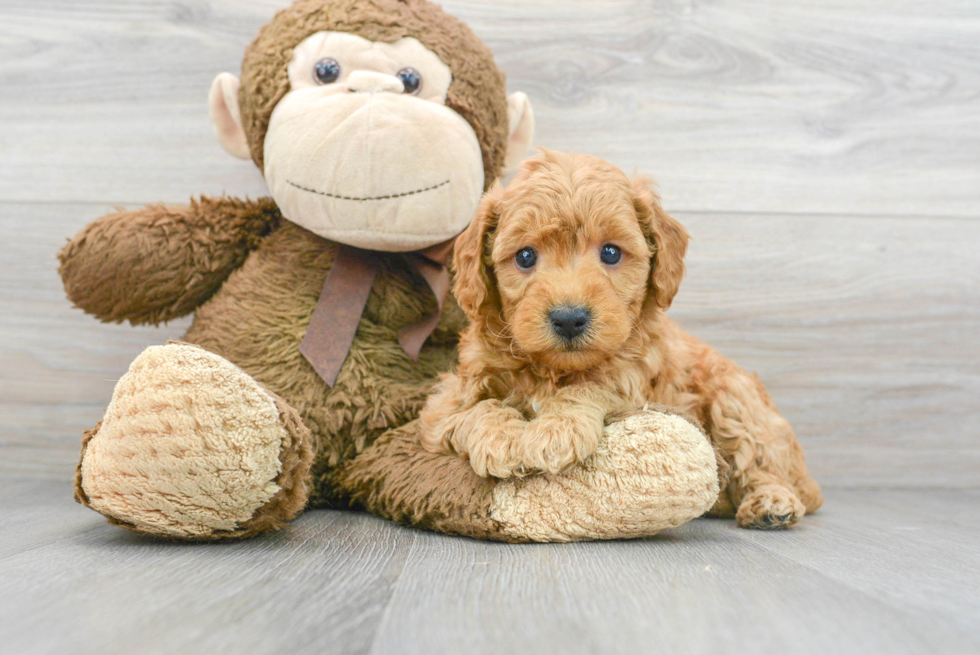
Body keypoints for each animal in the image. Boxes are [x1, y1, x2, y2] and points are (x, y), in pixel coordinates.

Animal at [420, 150, 820, 528]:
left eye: (610, 252)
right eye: (525, 256)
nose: (569, 318)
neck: (553, 371)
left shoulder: (636, 380)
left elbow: (595, 384)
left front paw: (555, 429)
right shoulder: (443, 406)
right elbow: (476, 408)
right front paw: (501, 438)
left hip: (736, 398)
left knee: (761, 461)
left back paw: (772, 503)